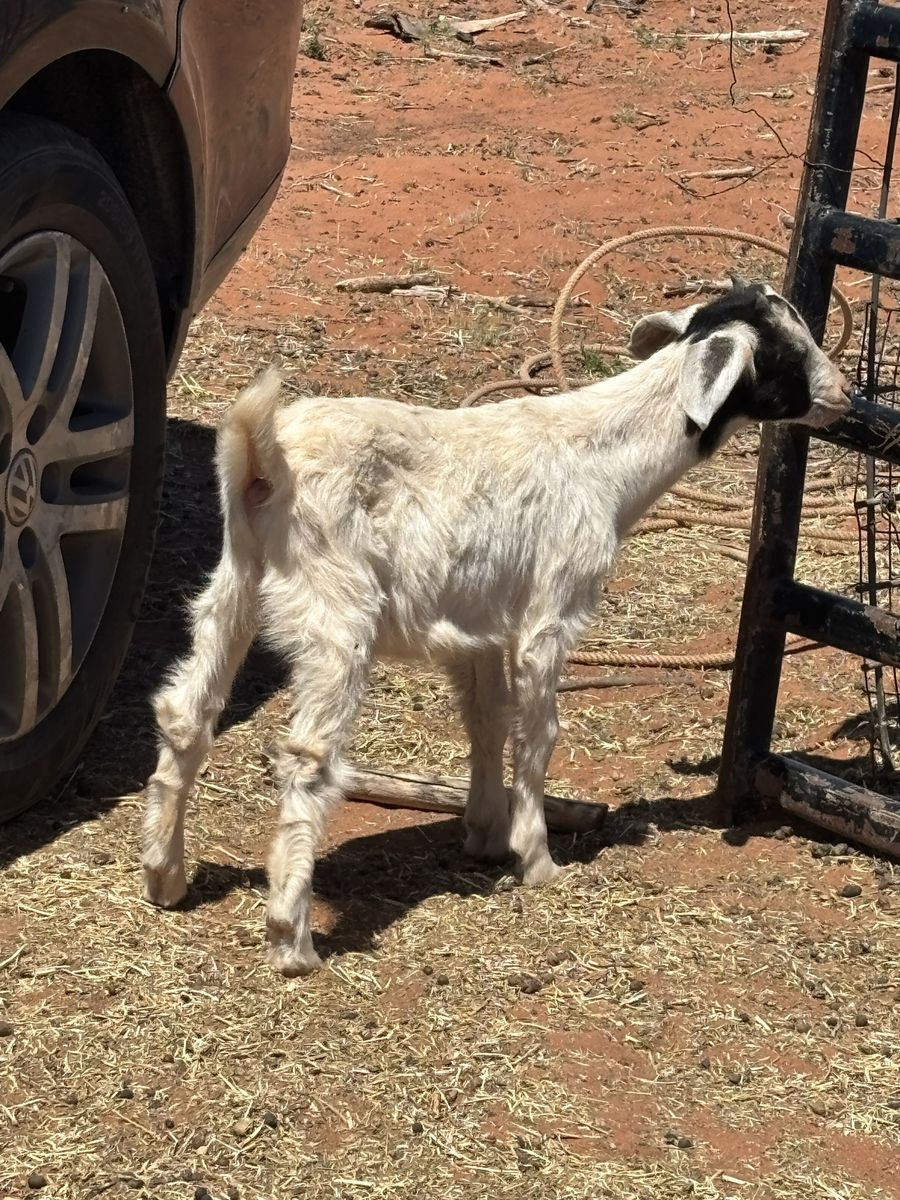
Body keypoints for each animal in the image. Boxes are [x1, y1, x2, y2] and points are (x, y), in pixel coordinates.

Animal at [141, 280, 851, 975]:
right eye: (787, 352)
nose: (844, 396)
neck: (604, 462)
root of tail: (264, 458)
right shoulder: (551, 610)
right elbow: (537, 734)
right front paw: (536, 858)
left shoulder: (478, 626)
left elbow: (486, 721)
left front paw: (484, 832)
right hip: (337, 609)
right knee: (309, 757)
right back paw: (292, 941)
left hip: (236, 579)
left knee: (186, 711)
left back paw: (165, 877)